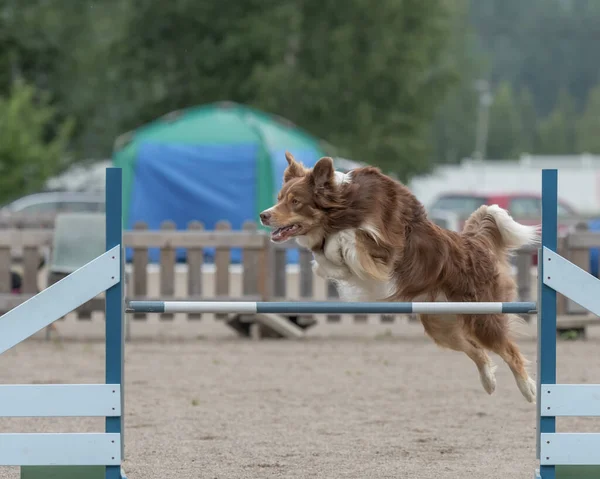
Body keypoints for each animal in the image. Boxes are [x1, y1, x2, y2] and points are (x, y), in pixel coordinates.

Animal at [260, 152, 540, 404]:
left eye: (295, 201)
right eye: (279, 198)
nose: (264, 214)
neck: (344, 205)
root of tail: (473, 241)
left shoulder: (385, 248)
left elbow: (347, 239)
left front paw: (336, 251)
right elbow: (327, 257)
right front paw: (330, 266)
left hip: (482, 316)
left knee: (508, 350)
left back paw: (528, 388)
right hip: (441, 325)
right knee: (477, 351)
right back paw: (489, 381)